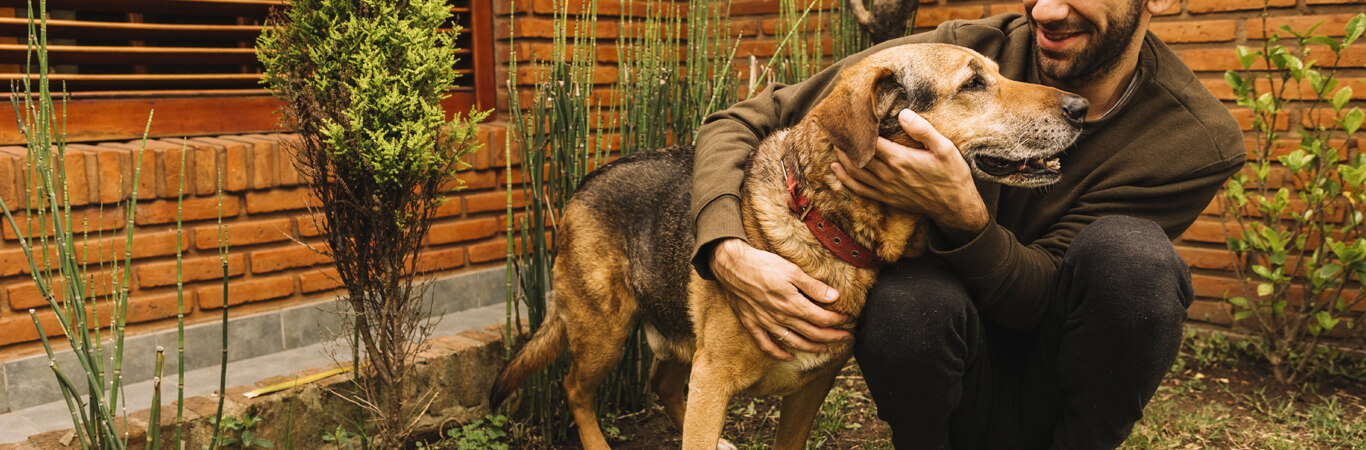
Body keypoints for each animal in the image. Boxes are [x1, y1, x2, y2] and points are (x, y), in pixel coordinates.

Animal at [489, 43, 1087, 449]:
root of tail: (584, 183)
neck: (828, 227)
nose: (1081, 108)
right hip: (605, 330)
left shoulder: (810, 388)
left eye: (999, 73)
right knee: (574, 389)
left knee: (659, 379)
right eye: (973, 84)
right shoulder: (714, 379)